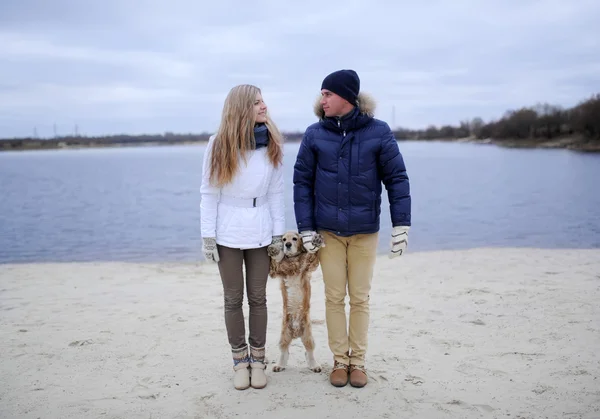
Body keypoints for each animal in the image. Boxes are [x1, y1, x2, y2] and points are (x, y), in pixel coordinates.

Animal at [268, 231, 324, 372]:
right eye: (283, 239)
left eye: (294, 238)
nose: (287, 244)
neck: (292, 259)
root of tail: (296, 332)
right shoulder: (277, 270)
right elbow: (276, 262)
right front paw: (274, 250)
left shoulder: (307, 265)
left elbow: (310, 256)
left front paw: (316, 242)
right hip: (284, 334)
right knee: (284, 351)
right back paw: (279, 365)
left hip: (308, 334)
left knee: (309, 351)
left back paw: (314, 365)